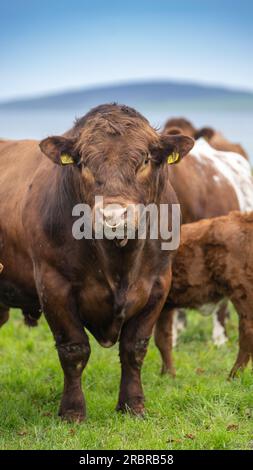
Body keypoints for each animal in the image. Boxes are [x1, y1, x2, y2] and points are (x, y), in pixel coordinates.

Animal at [0, 104, 194, 420]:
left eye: (144, 159)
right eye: (84, 163)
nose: (114, 216)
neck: (119, 263)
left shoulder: (157, 284)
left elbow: (134, 348)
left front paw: (133, 404)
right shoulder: (53, 285)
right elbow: (74, 349)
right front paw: (73, 411)